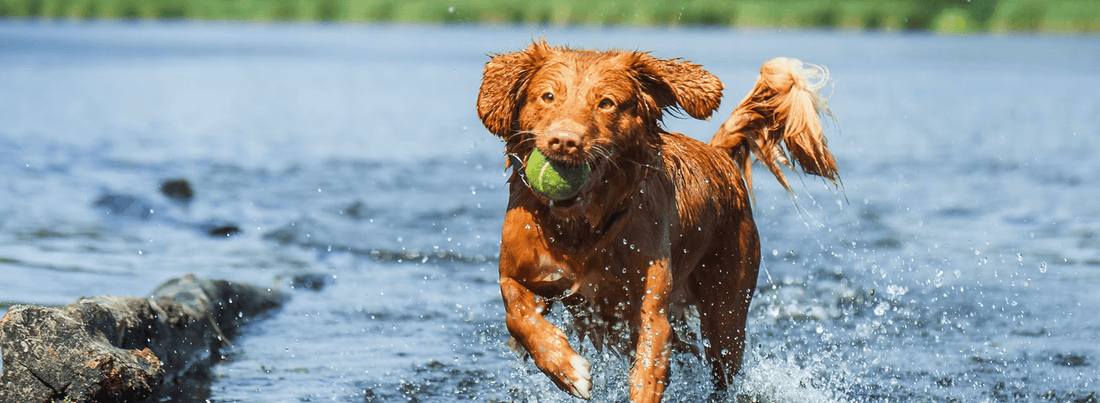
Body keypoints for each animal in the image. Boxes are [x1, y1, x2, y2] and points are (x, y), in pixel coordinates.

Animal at [475, 41, 840, 403]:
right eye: (548, 96)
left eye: (606, 103)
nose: (565, 141)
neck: (581, 229)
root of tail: (719, 154)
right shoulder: (516, 272)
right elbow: (516, 314)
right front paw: (565, 368)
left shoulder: (651, 312)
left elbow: (647, 372)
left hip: (726, 312)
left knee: (723, 363)